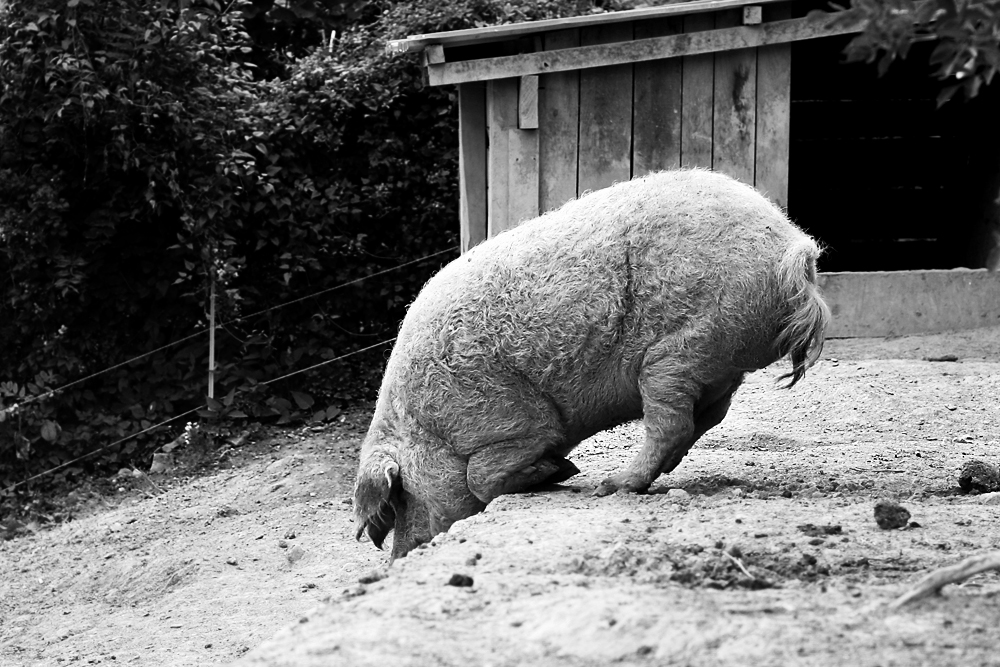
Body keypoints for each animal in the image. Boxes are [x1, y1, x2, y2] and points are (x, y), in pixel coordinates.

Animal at [352, 170, 828, 560]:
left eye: (400, 495)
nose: (397, 559)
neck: (428, 426)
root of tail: (792, 249)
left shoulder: (517, 422)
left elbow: (478, 477)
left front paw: (564, 471)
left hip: (678, 354)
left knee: (672, 425)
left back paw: (610, 486)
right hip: (713, 362)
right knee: (705, 418)